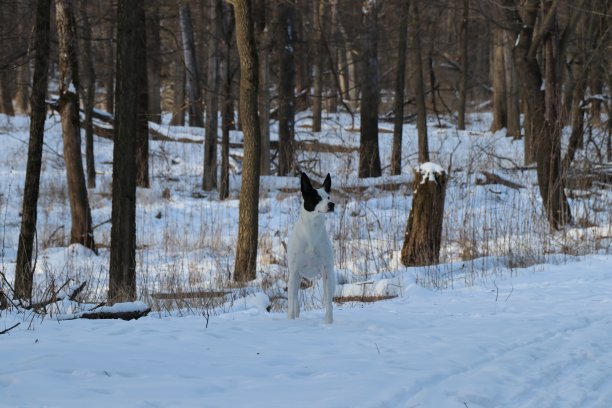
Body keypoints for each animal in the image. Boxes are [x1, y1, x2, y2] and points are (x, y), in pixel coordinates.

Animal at [286, 173, 334, 326]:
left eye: (328, 197)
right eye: (317, 198)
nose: (332, 204)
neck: (312, 230)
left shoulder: (326, 272)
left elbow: (328, 303)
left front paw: (329, 323)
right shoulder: (294, 271)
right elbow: (291, 304)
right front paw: (290, 322)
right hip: (295, 279)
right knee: (294, 301)